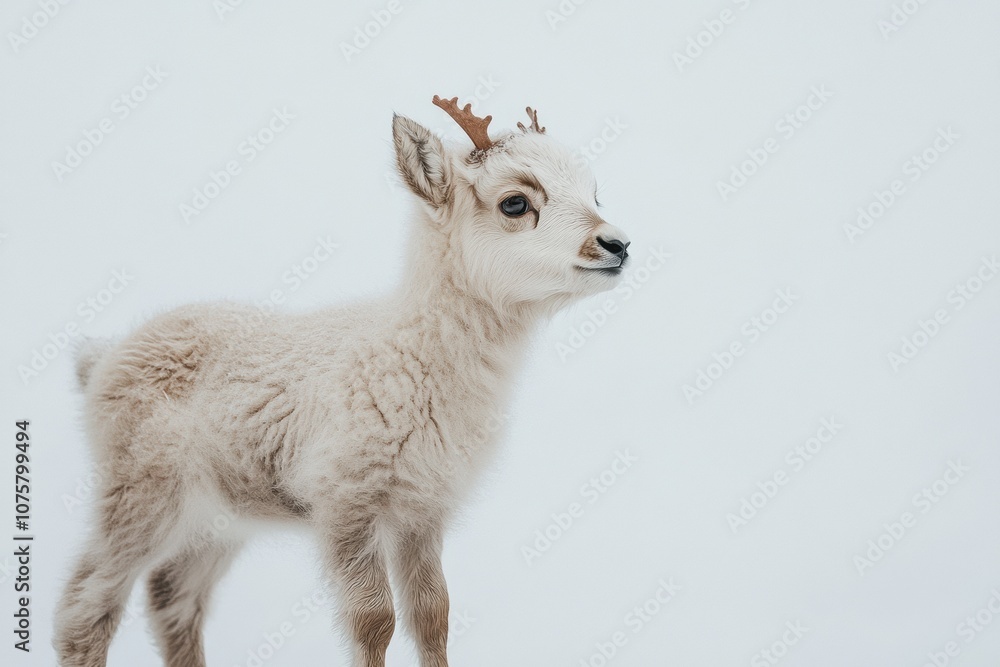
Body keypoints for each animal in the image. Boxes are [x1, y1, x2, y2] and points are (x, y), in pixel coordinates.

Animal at [54, 95, 631, 667]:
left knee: (173, 597)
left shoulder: (422, 508)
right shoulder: (344, 500)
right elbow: (375, 621)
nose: (618, 243)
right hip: (138, 490)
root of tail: (101, 358)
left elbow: (433, 615)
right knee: (85, 605)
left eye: (594, 193)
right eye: (515, 203)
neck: (412, 356)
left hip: (219, 515)